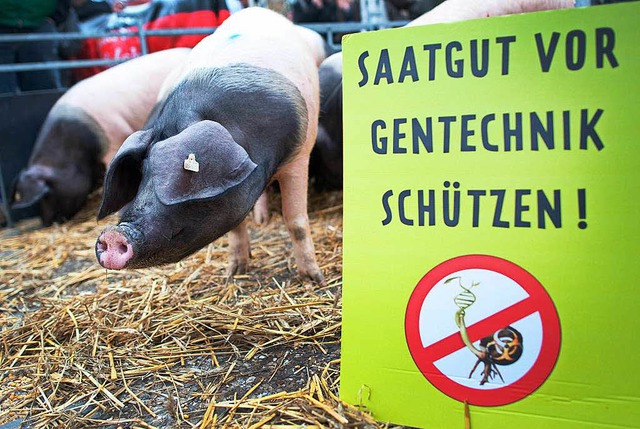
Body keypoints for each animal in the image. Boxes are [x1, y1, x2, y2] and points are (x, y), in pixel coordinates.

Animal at [95, 7, 324, 280]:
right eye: (141, 175)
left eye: (181, 178)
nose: (112, 235)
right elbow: (236, 228)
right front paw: (234, 272)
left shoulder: (299, 155)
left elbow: (296, 221)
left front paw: (314, 280)